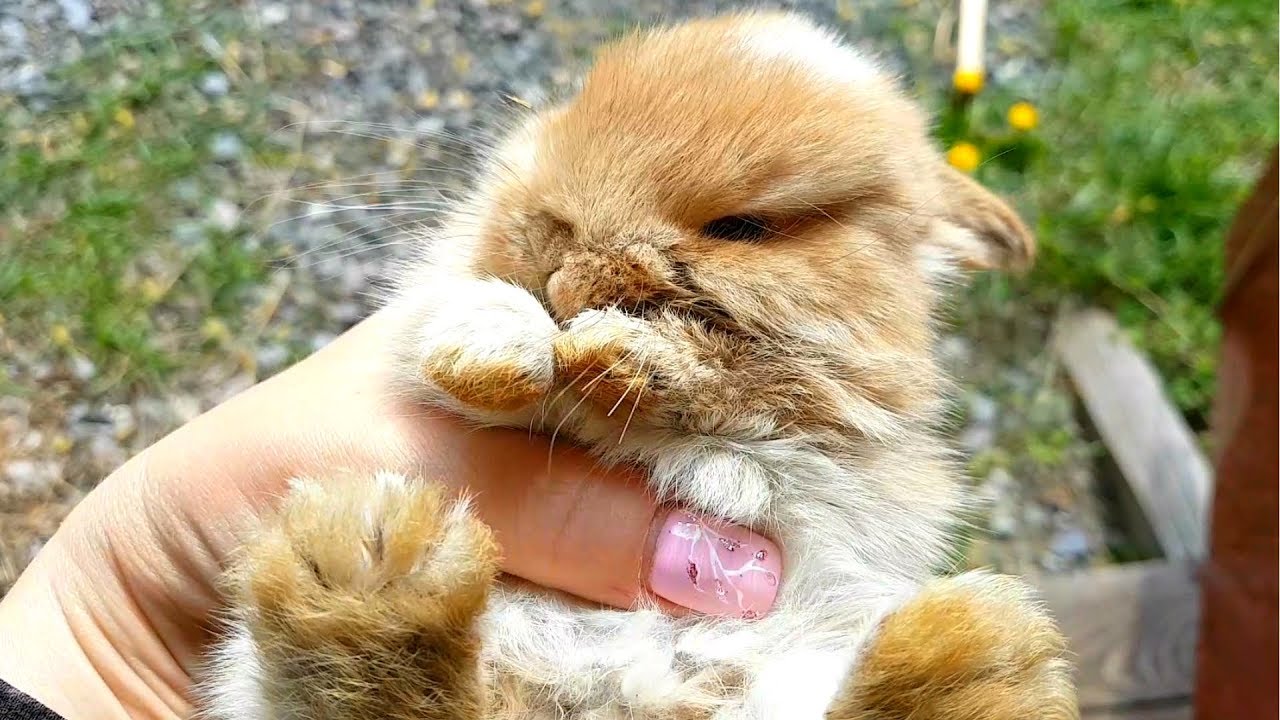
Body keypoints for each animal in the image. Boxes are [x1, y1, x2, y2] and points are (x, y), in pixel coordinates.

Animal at [197, 11, 1077, 720]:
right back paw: (372, 561)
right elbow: (464, 340)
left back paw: (971, 660)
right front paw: (500, 340)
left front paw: (617, 352)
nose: (553, 247)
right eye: (573, 105)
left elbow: (730, 379)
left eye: (743, 226)